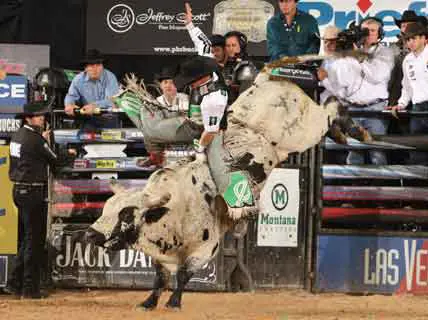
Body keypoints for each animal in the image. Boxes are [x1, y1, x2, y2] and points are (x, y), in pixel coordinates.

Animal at [84, 55, 368, 310]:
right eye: (105, 209)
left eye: (125, 214)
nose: (90, 233)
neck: (173, 208)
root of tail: (265, 79)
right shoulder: (162, 255)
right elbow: (160, 276)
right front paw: (149, 302)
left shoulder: (206, 247)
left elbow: (184, 274)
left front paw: (174, 302)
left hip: (306, 129)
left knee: (330, 107)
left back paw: (354, 130)